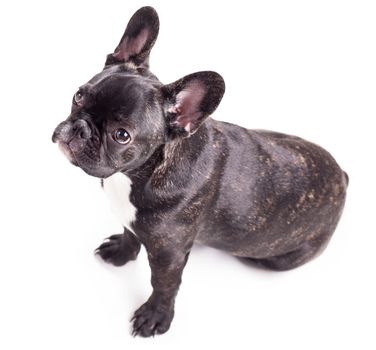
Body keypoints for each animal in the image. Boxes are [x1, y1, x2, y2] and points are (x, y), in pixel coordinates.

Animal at [51, 6, 348, 338]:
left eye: (121, 135)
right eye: (79, 96)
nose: (80, 128)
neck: (137, 175)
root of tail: (343, 177)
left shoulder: (169, 254)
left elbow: (164, 285)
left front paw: (156, 316)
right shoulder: (131, 219)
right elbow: (130, 233)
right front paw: (121, 252)